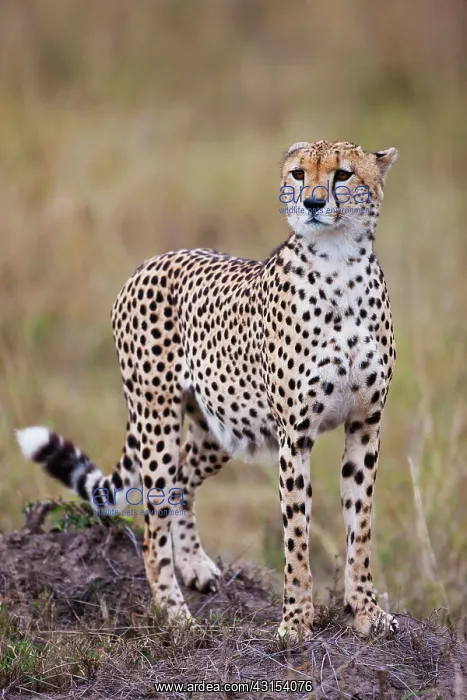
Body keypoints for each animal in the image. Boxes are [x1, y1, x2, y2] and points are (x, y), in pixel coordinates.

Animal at [17, 139, 399, 640]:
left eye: (343, 175)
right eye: (298, 174)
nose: (313, 203)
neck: (340, 265)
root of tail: (154, 259)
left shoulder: (365, 425)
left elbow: (361, 526)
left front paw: (367, 611)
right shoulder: (294, 436)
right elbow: (296, 536)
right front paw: (295, 623)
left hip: (225, 426)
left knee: (183, 478)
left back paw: (194, 566)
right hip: (157, 419)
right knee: (152, 525)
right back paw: (175, 615)